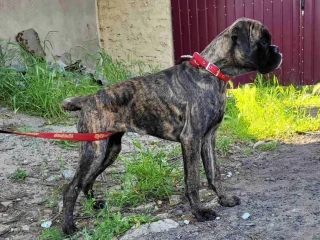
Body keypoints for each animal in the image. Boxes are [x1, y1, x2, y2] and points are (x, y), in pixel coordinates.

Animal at [61, 17, 282, 234]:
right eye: (263, 42)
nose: (278, 49)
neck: (212, 72)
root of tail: (88, 99)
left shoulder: (208, 138)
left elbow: (214, 173)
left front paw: (224, 199)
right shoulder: (191, 139)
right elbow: (193, 180)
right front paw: (199, 212)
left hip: (109, 149)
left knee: (87, 181)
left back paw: (94, 205)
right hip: (95, 151)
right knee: (71, 187)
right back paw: (68, 226)